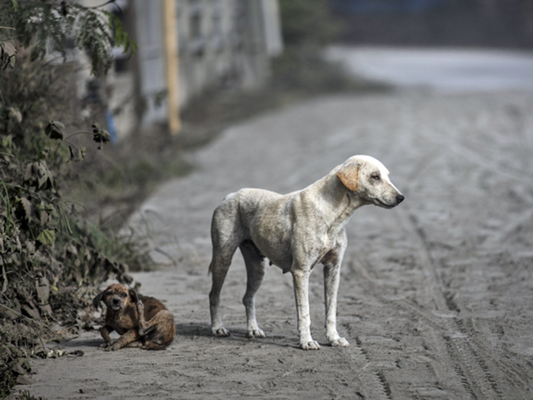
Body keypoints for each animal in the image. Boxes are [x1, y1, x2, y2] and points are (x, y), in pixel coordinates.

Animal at [208, 156, 404, 350]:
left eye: (387, 175)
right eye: (375, 176)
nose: (401, 197)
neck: (332, 213)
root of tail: (230, 195)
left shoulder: (333, 269)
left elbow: (331, 311)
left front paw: (334, 339)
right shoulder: (301, 272)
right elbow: (304, 313)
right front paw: (307, 342)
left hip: (257, 267)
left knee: (248, 298)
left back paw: (253, 330)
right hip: (222, 258)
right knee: (214, 295)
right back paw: (218, 328)